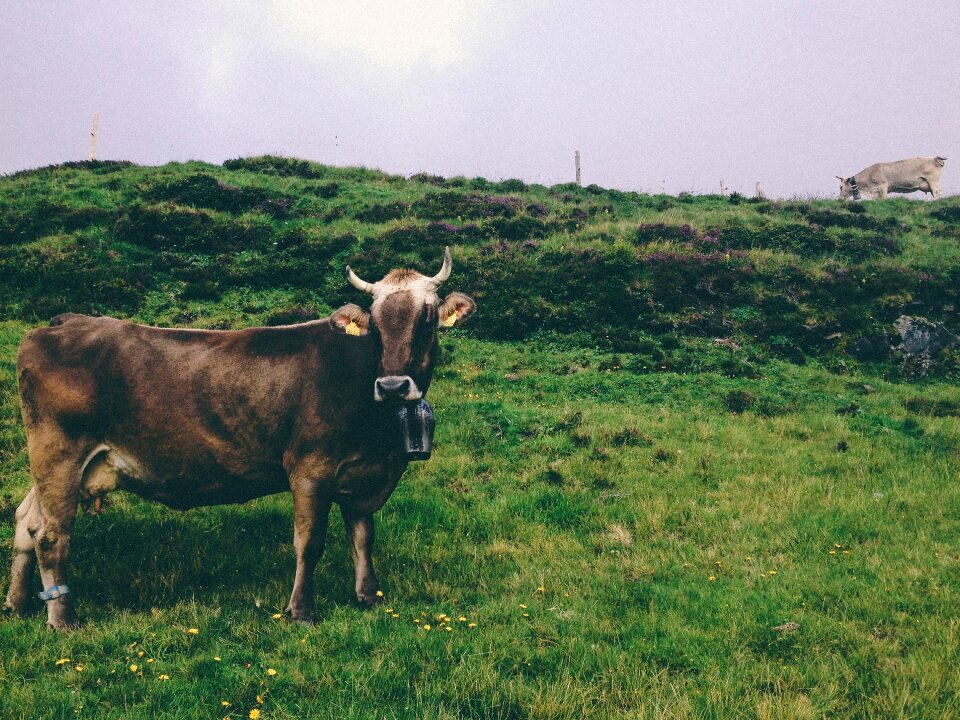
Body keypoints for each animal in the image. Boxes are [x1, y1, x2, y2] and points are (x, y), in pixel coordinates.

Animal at [2, 249, 476, 632]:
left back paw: (17, 604)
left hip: (58, 465)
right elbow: (309, 542)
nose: (393, 385)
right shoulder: (310, 468)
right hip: (59, 454)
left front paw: (368, 597)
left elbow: (362, 536)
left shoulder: (361, 472)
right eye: (374, 325)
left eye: (427, 319)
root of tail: (63, 321)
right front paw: (302, 611)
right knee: (51, 535)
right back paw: (63, 619)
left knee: (26, 522)